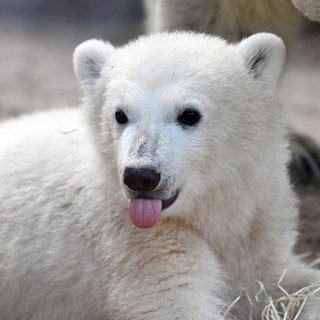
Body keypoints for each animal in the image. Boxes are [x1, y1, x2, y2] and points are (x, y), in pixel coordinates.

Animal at [0, 32, 318, 320]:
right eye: (120, 114)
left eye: (189, 114)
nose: (140, 176)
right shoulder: (139, 246)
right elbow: (173, 304)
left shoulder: (256, 232)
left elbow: (283, 281)